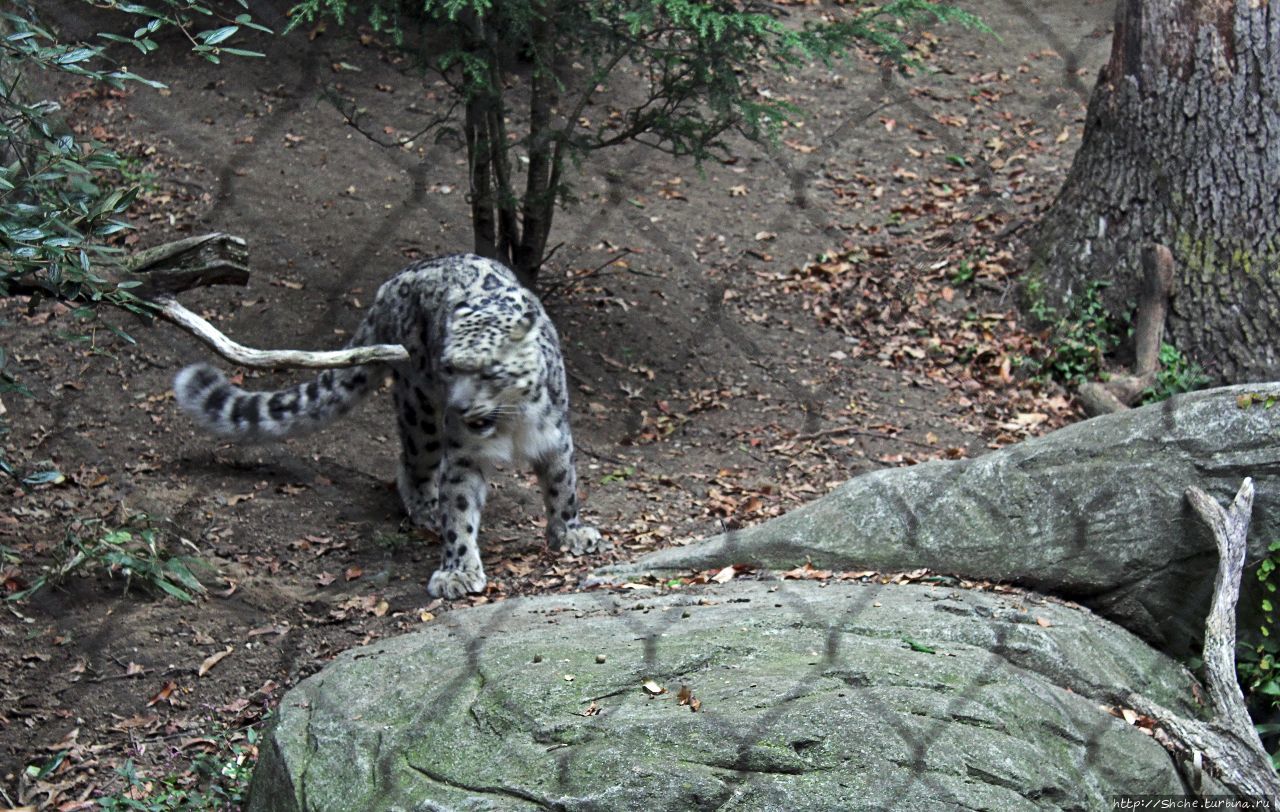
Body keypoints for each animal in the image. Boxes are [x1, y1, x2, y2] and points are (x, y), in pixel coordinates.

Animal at [172, 253, 606, 594]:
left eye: (489, 371)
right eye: (450, 366)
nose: (461, 406)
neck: (509, 426)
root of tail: (391, 284)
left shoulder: (555, 437)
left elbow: (562, 486)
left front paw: (570, 532)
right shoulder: (463, 454)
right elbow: (460, 507)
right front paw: (458, 570)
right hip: (420, 411)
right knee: (413, 462)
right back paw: (427, 506)